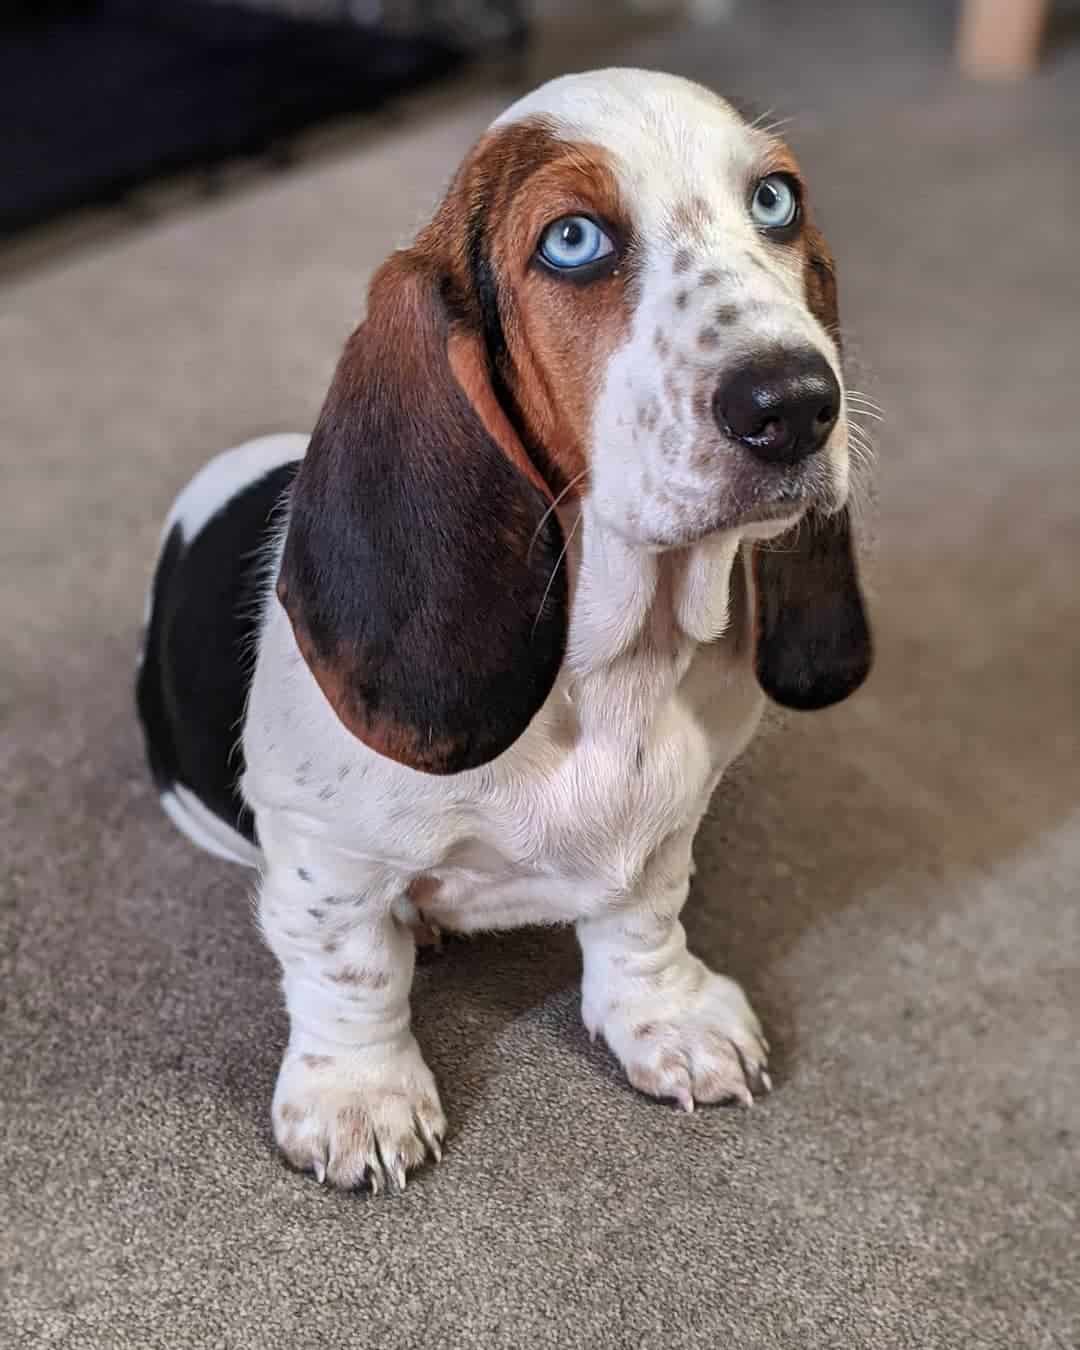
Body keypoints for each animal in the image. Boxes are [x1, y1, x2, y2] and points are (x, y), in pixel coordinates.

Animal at [139, 71, 874, 1193]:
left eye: (775, 201)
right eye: (572, 240)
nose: (793, 403)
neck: (618, 664)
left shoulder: (668, 826)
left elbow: (645, 917)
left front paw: (667, 1019)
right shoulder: (322, 851)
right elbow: (349, 966)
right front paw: (358, 1096)